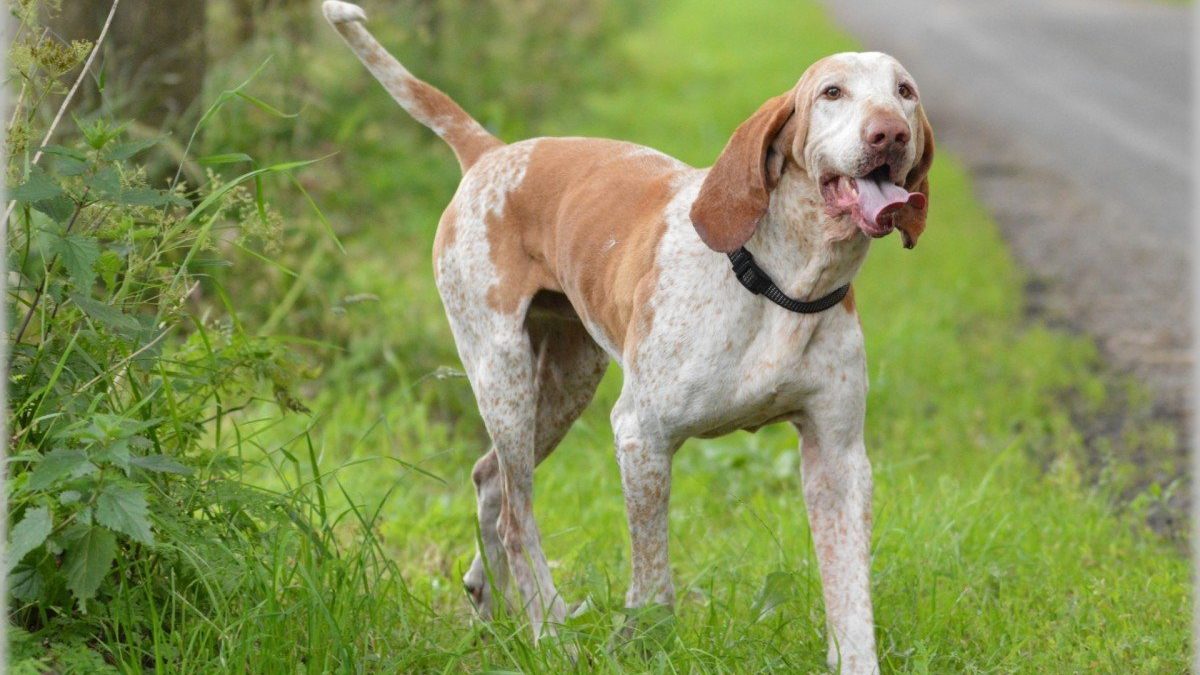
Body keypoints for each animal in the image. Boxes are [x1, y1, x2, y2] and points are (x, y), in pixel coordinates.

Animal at [324, 2, 931, 667]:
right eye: (832, 92)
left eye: (905, 92)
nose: (890, 134)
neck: (782, 282)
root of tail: (493, 151)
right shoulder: (642, 435)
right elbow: (654, 581)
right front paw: (641, 644)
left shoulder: (838, 458)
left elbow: (850, 599)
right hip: (503, 375)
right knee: (516, 517)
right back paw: (550, 630)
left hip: (564, 385)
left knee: (490, 481)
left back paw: (493, 606)